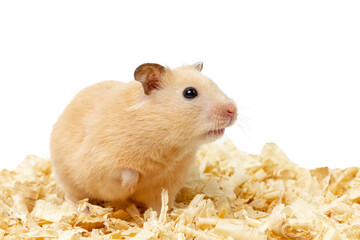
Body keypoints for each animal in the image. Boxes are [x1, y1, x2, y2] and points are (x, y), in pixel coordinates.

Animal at [50, 62, 236, 212]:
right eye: (190, 92)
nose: (233, 110)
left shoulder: (166, 184)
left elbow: (160, 205)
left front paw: (166, 217)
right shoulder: (104, 161)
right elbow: (127, 172)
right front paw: (130, 187)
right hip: (69, 180)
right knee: (75, 198)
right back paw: (86, 211)